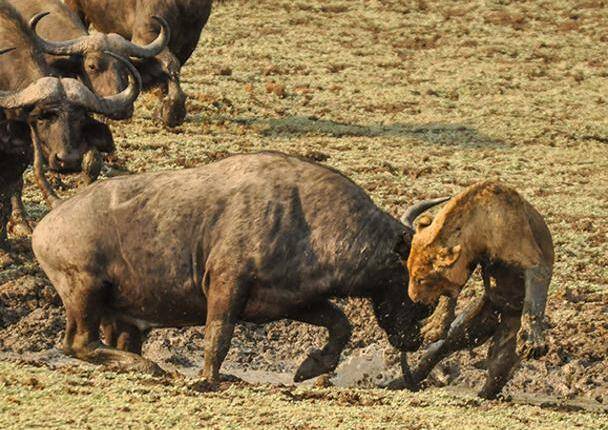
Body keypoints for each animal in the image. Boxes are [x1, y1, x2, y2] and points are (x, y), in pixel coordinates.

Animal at [32, 151, 446, 382]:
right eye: (417, 281)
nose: (414, 341)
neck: (307, 218)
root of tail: (53, 214)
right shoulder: (227, 283)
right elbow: (219, 337)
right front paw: (207, 379)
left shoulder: (292, 301)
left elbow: (341, 325)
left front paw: (312, 367)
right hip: (84, 291)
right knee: (77, 343)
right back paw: (149, 367)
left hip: (118, 314)